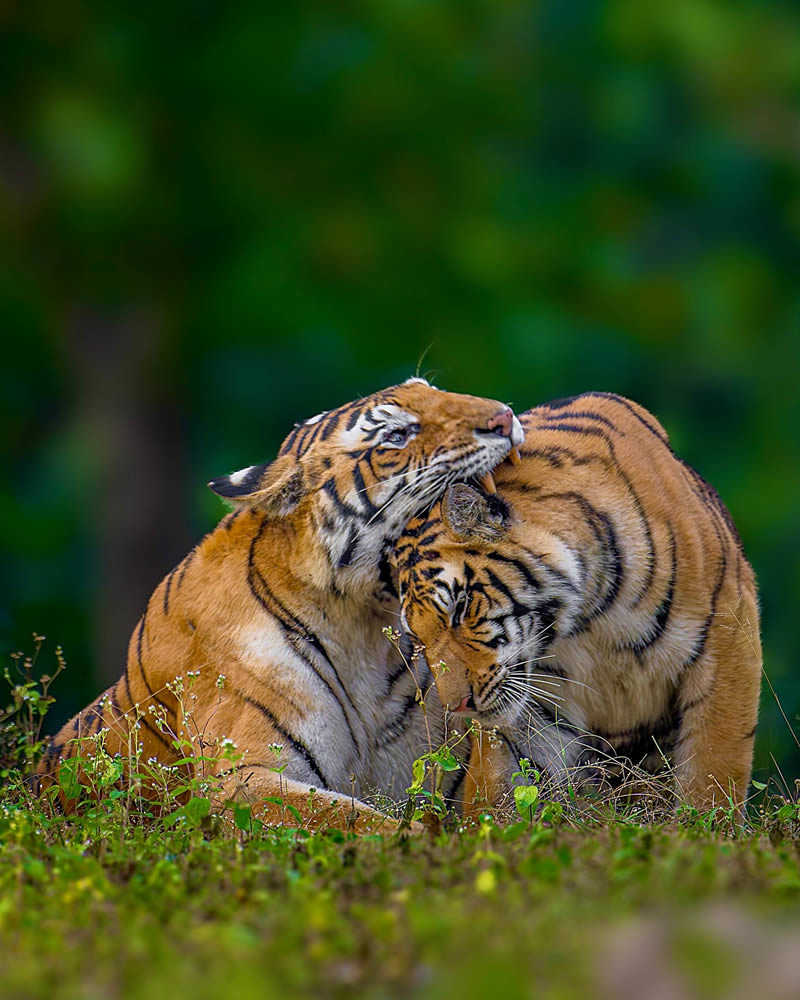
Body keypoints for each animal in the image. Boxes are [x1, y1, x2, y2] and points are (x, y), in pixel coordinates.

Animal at [39, 378, 524, 832]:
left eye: (435, 390)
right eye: (397, 434)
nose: (505, 418)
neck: (363, 627)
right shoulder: (241, 778)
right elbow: (351, 819)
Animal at [396, 386, 764, 816]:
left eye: (459, 608)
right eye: (417, 638)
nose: (459, 706)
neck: (589, 618)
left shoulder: (727, 636)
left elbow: (712, 769)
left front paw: (707, 826)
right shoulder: (537, 706)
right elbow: (500, 787)